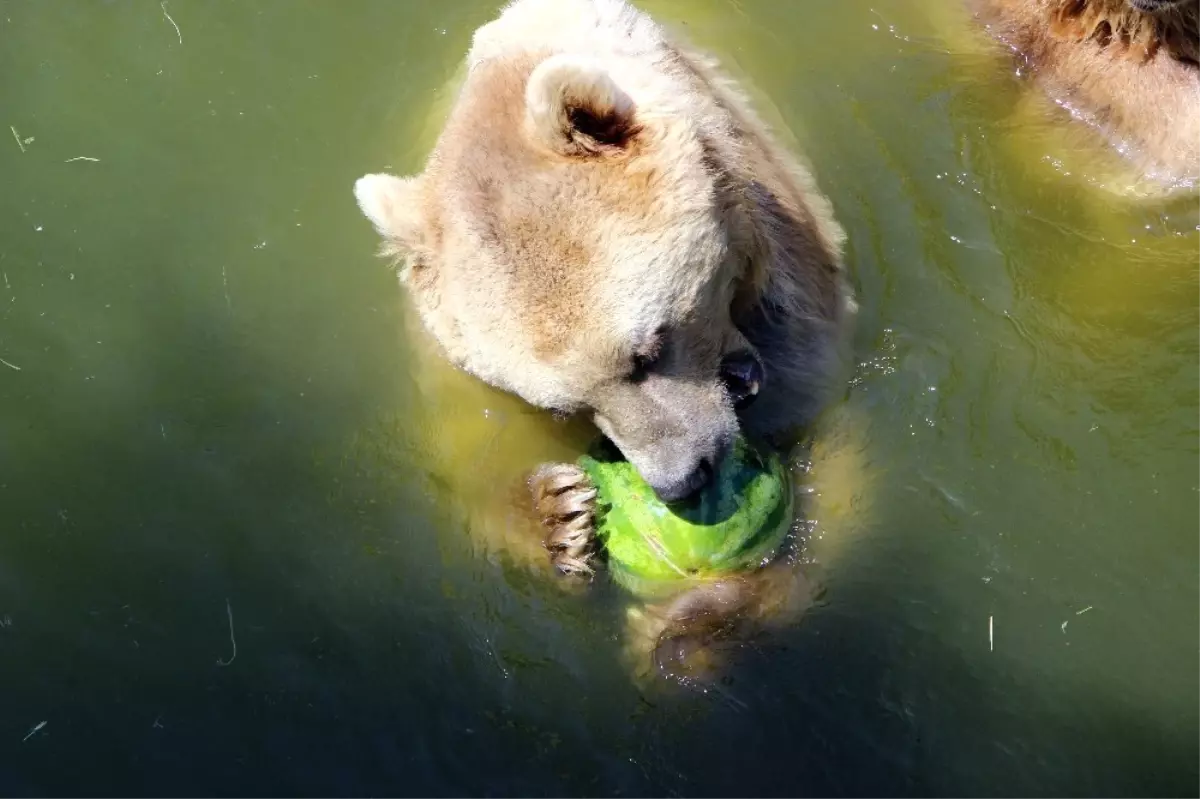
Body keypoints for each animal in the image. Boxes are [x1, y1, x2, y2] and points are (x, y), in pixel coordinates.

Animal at [350, 0, 859, 676]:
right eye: (565, 404)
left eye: (647, 350)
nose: (681, 478)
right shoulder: (451, 371)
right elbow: (471, 460)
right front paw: (558, 515)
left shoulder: (797, 301)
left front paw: (686, 623)